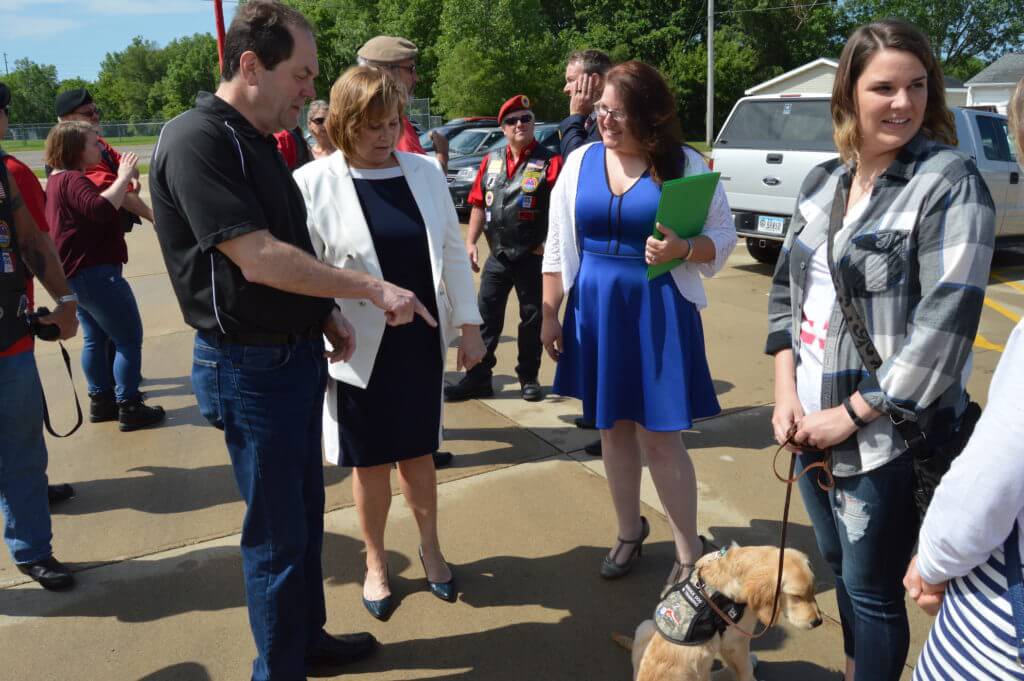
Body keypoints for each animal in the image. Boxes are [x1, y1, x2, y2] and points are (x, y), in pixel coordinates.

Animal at [614, 544, 823, 679]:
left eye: (813, 591)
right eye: (796, 597)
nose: (818, 622)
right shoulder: (735, 641)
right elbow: (744, 668)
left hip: (646, 626)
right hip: (701, 655)